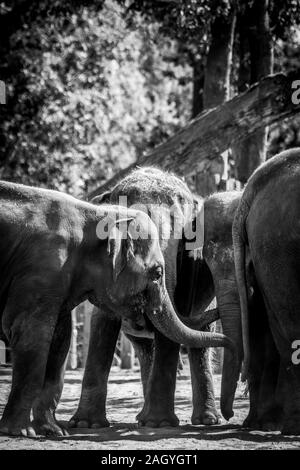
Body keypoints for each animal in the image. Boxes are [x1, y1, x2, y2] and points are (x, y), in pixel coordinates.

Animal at [70, 167, 244, 428]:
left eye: (182, 236)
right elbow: (103, 323)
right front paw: (86, 425)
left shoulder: (187, 267)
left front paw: (160, 424)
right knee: (145, 348)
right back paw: (141, 417)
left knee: (200, 341)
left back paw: (204, 420)